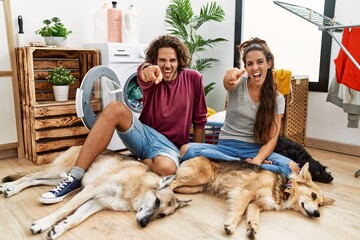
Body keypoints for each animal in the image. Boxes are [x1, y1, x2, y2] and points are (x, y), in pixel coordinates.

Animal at [0, 146, 190, 240]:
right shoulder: (90, 191)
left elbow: (76, 218)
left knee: (33, 180)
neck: (137, 188)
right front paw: (43, 223)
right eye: (157, 201)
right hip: (58, 169)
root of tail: (79, 145)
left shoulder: (96, 203)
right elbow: (64, 210)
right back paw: (8, 186)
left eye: (162, 216)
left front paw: (59, 228)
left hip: (56, 178)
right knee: (30, 175)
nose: (143, 224)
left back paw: (11, 188)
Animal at [170, 157, 334, 239]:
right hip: (200, 177)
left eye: (320, 205)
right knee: (172, 182)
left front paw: (252, 229)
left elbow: (254, 218)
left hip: (196, 187)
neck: (283, 190)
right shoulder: (245, 193)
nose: (317, 214)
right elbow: (238, 212)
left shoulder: (255, 205)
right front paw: (230, 225)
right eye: (313, 195)